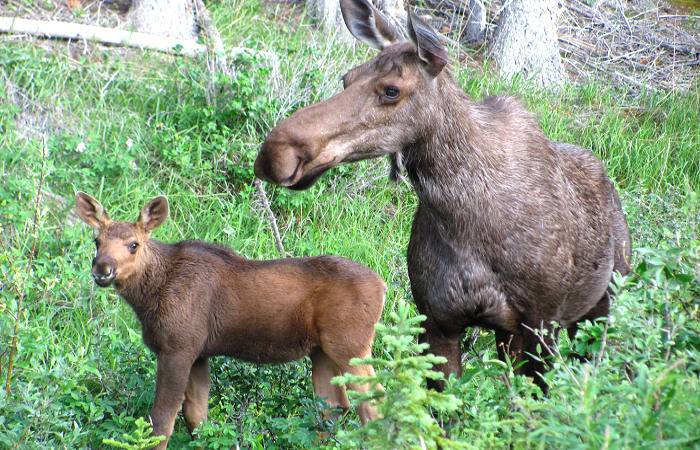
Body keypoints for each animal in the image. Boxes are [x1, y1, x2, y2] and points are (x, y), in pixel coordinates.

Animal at [75, 192, 388, 448]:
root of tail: (383, 287)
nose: (103, 269)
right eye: (96, 241)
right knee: (333, 406)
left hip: (350, 345)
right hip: (321, 352)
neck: (148, 297)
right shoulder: (199, 354)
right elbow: (197, 418)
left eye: (134, 244)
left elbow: (161, 424)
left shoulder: (177, 348)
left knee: (375, 402)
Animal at [254, 0, 632, 390]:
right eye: (347, 78)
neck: (462, 219)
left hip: (604, 302)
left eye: (392, 90)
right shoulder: (437, 320)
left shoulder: (541, 323)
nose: (276, 153)